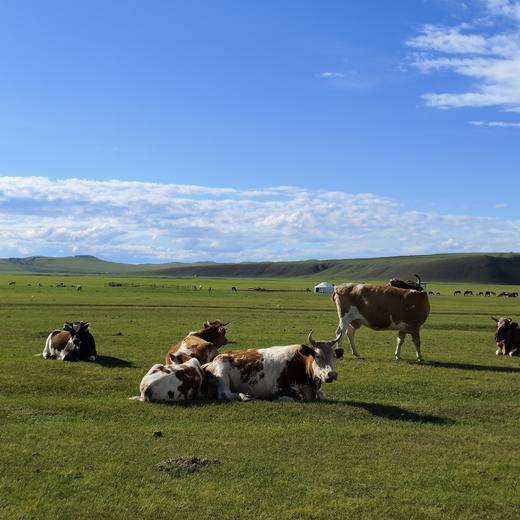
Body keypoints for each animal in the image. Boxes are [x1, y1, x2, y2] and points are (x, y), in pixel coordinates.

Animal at [201, 334, 340, 402]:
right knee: (226, 394)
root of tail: (211, 362)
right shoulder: (279, 389)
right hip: (222, 371)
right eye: (318, 356)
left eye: (334, 356)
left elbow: (322, 395)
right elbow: (300, 398)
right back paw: (245, 396)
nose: (332, 374)